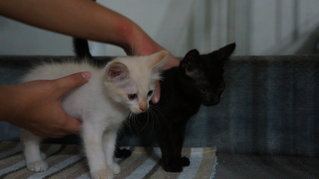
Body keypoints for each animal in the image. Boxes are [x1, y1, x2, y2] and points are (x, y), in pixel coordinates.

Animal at [20, 50, 170, 179]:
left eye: (149, 93)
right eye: (132, 96)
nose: (144, 108)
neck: (114, 105)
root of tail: (29, 77)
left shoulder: (111, 129)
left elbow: (108, 148)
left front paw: (110, 165)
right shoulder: (92, 126)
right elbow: (96, 151)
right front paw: (101, 170)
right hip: (38, 118)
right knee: (28, 139)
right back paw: (34, 161)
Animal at [74, 38, 236, 172]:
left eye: (221, 88)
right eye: (204, 89)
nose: (215, 100)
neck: (183, 95)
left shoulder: (179, 124)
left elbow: (178, 142)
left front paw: (178, 159)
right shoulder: (163, 123)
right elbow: (167, 144)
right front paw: (170, 166)